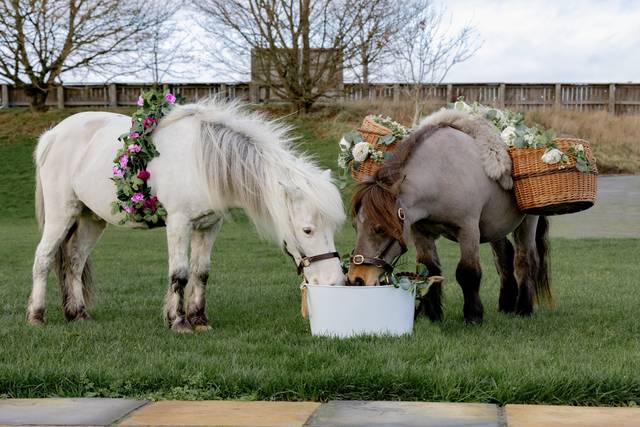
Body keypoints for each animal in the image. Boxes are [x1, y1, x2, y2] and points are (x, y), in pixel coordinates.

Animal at [28, 100, 346, 332]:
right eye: (307, 230)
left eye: (333, 229)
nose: (335, 282)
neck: (201, 160)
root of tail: (51, 135)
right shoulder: (179, 224)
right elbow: (179, 273)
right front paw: (178, 322)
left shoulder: (209, 226)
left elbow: (200, 272)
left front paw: (199, 319)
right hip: (61, 214)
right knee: (43, 257)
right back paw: (36, 315)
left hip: (92, 219)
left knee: (74, 260)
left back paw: (78, 314)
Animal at [347, 110, 552, 324]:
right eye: (354, 226)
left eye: (379, 228)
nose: (356, 279)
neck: (441, 175)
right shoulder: (421, 232)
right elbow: (430, 270)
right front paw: (433, 315)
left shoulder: (468, 230)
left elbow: (468, 272)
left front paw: (473, 315)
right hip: (497, 227)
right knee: (504, 257)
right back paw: (506, 304)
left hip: (527, 223)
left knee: (526, 260)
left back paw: (523, 308)